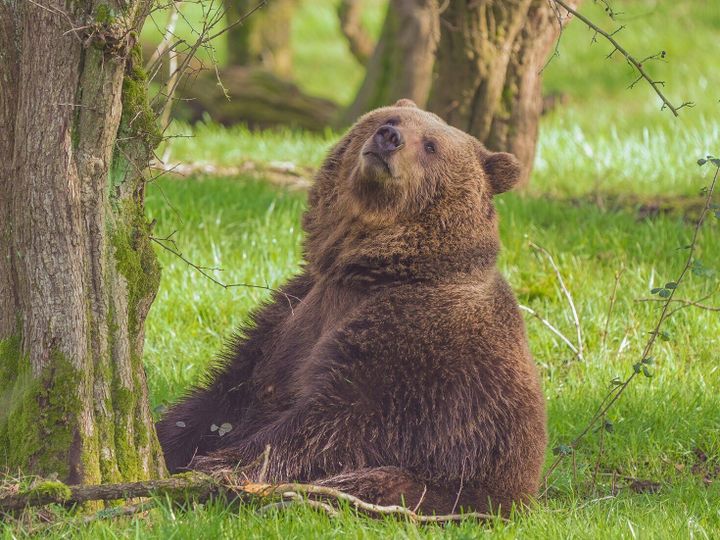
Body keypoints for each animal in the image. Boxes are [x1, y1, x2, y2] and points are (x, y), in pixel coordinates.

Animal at [156, 99, 547, 516]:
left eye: (431, 145)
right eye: (390, 118)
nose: (389, 137)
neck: (364, 269)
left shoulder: (412, 346)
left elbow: (331, 423)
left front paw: (219, 467)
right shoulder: (291, 312)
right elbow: (226, 394)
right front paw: (169, 440)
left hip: (453, 484)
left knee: (368, 484)